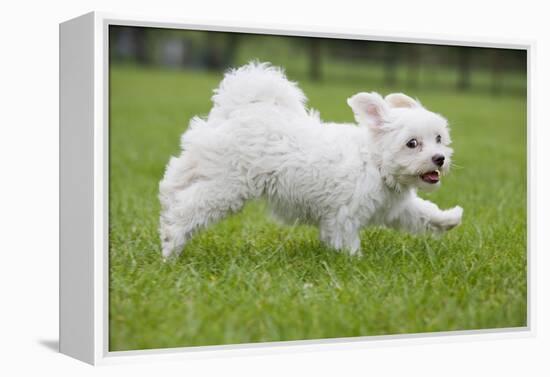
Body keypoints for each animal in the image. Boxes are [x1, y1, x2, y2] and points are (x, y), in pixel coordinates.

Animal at [160, 61, 466, 258]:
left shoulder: (396, 208)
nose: (439, 158)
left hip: (206, 163)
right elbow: (347, 242)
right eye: (412, 144)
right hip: (228, 185)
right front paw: (355, 263)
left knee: (175, 178)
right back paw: (171, 243)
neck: (375, 163)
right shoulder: (344, 217)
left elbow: (423, 214)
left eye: (439, 138)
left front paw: (449, 219)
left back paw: (167, 206)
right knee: (189, 207)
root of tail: (240, 109)